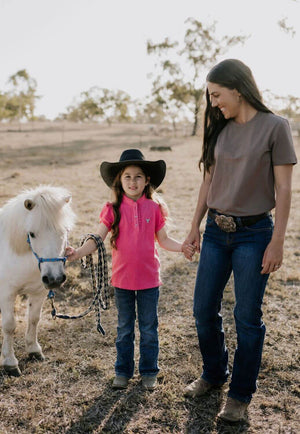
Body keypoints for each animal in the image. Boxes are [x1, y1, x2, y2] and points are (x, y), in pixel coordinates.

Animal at [0, 185, 75, 374]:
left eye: (65, 231)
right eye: (32, 234)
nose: (55, 278)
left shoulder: (39, 292)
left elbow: (34, 319)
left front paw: (33, 350)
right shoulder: (6, 294)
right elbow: (9, 325)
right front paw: (10, 362)